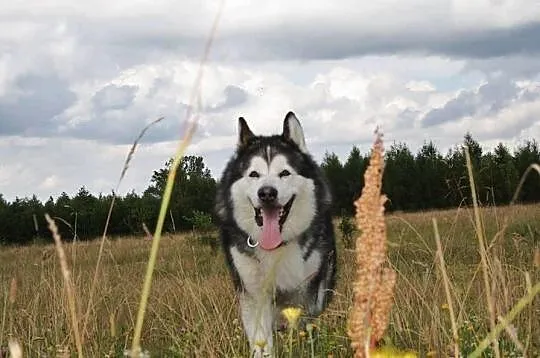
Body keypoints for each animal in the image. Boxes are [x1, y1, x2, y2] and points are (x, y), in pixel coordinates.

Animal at [215, 111, 338, 356]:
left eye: (284, 173)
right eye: (254, 174)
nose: (267, 193)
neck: (276, 247)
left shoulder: (307, 296)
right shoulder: (254, 295)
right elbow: (261, 342)